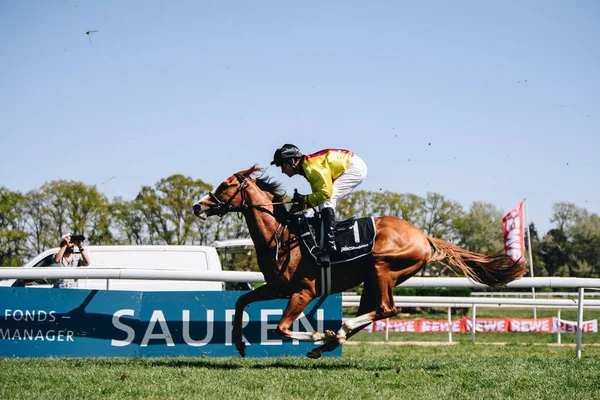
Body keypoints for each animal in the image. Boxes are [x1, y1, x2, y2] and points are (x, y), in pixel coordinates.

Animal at [192, 166, 524, 360]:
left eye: (225, 185)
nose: (198, 206)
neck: (282, 235)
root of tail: (423, 236)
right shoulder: (277, 287)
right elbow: (240, 302)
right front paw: (240, 343)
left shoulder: (303, 291)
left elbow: (283, 328)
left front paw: (316, 332)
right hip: (371, 279)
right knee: (373, 310)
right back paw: (329, 341)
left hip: (382, 267)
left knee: (387, 309)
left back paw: (332, 334)